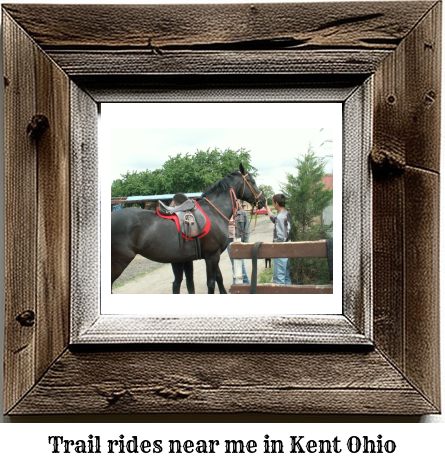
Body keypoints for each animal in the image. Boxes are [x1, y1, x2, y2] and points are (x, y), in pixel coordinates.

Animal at [111, 165, 266, 292]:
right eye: (252, 181)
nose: (263, 200)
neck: (214, 212)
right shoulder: (212, 256)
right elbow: (211, 283)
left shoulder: (213, 256)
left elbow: (219, 278)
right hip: (118, 263)